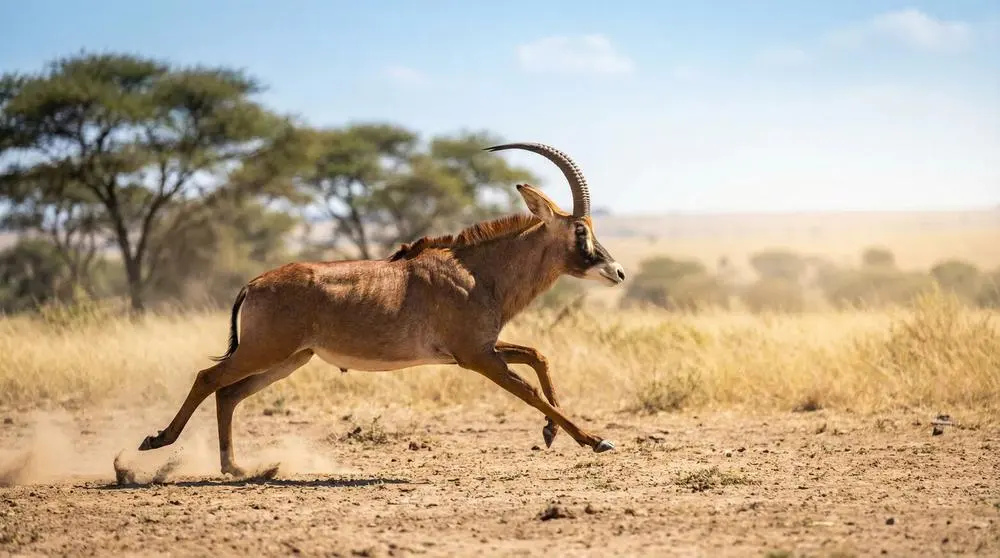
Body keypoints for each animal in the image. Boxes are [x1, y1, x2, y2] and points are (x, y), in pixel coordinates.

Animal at [137, 142, 627, 477]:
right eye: (580, 230)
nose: (618, 272)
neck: (477, 271)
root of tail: (254, 284)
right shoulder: (476, 357)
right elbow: (528, 390)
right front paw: (595, 440)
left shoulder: (481, 348)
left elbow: (537, 355)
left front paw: (550, 433)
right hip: (266, 351)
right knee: (209, 379)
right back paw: (157, 441)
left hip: (289, 359)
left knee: (229, 393)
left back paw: (235, 468)